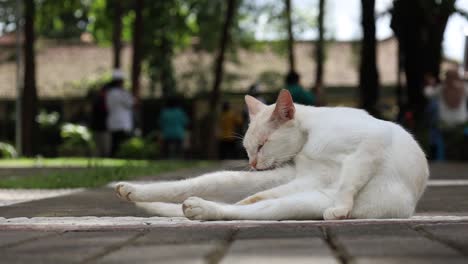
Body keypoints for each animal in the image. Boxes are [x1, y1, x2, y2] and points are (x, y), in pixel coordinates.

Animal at [116, 89, 428, 220]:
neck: (310, 139)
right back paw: (134, 191)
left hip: (302, 201)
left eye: (262, 144)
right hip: (287, 189)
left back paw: (200, 208)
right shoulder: (304, 176)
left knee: (246, 209)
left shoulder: (371, 144)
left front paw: (340, 209)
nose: (253, 163)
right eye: (247, 149)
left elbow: (349, 181)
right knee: (207, 188)